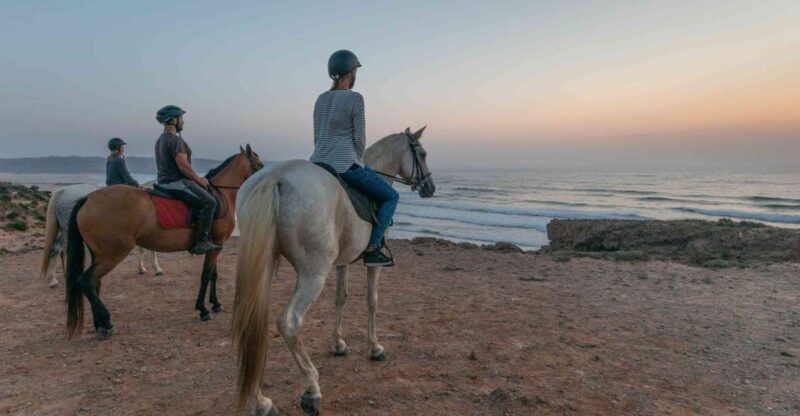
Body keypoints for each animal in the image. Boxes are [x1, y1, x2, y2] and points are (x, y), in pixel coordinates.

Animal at [64, 145, 263, 340]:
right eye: (259, 165)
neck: (221, 194)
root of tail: (88, 198)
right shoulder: (215, 244)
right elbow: (206, 275)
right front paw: (203, 309)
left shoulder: (216, 245)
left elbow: (214, 274)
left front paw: (215, 304)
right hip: (111, 255)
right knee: (86, 282)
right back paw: (105, 321)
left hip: (99, 255)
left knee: (94, 284)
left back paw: (100, 324)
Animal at [233, 127, 434, 415]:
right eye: (422, 154)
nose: (430, 187)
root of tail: (274, 177)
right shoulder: (373, 264)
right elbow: (372, 300)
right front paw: (375, 347)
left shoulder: (342, 263)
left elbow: (341, 297)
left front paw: (338, 343)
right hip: (313, 273)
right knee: (289, 322)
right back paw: (311, 389)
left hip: (264, 267)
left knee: (251, 320)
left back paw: (260, 401)